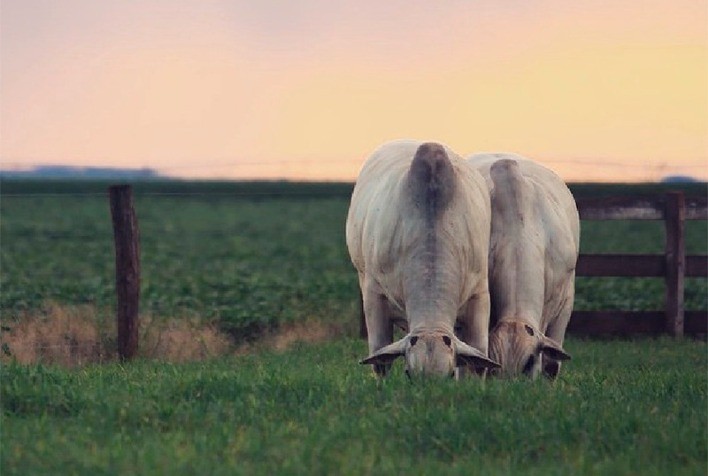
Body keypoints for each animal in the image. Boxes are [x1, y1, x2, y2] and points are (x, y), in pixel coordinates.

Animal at [346, 139, 500, 378]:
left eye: (448, 375)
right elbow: (380, 360)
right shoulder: (374, 295)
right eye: (409, 373)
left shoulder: (479, 294)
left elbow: (478, 361)